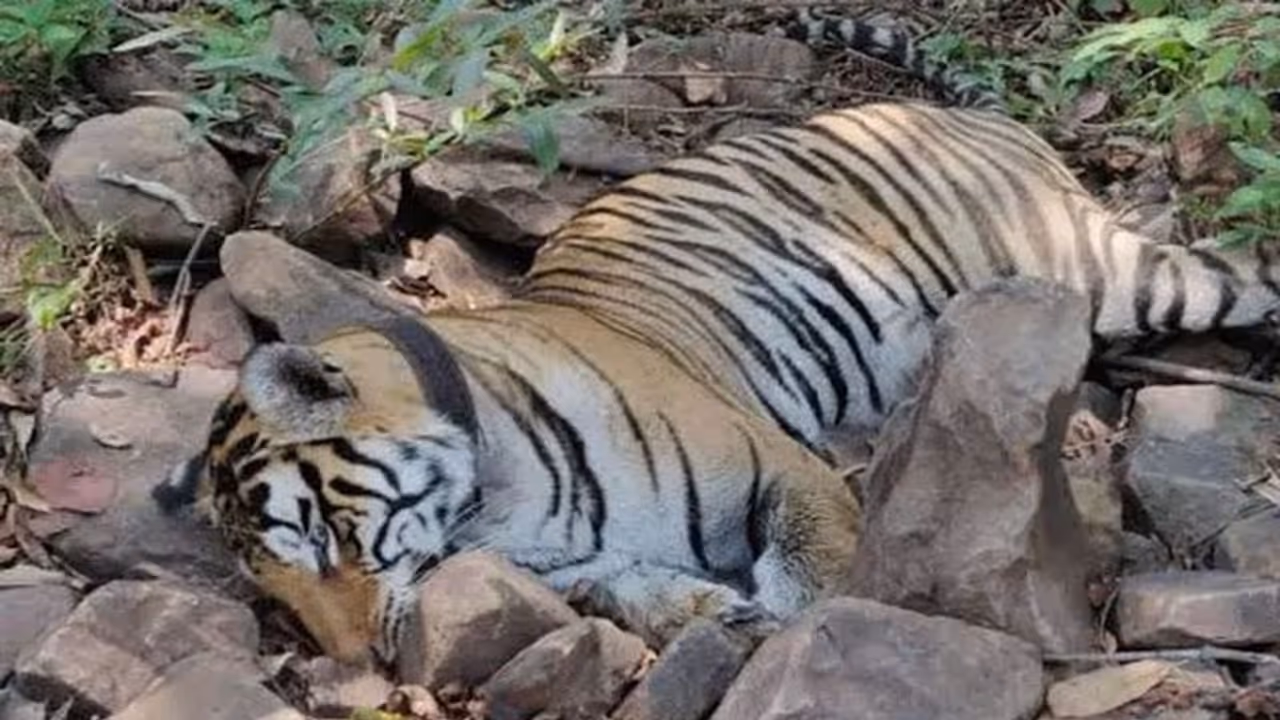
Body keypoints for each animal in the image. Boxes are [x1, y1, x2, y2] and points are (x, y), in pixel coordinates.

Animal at [157, 9, 1280, 667]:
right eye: (270, 590)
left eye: (319, 537)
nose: (354, 668)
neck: (488, 502)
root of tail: (975, 118)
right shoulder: (574, 563)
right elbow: (631, 587)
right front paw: (707, 615)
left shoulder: (781, 467)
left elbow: (818, 569)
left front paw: (794, 625)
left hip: (1116, 273)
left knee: (1239, 274)